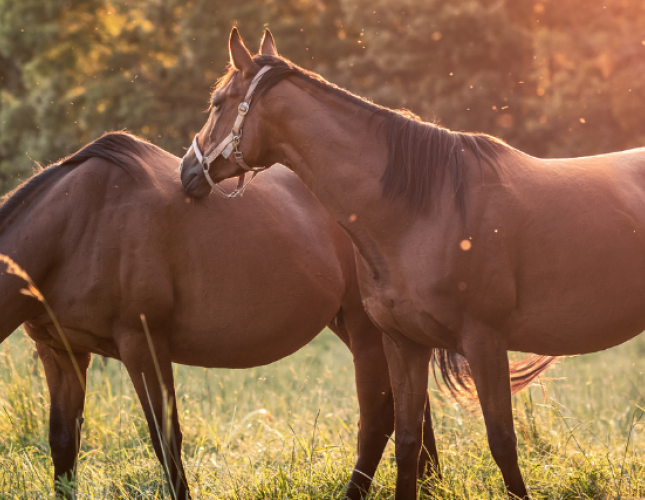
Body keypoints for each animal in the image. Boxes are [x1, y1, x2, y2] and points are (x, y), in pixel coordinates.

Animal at [0, 133, 442, 500]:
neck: (78, 224)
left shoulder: (142, 345)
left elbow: (166, 439)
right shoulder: (60, 352)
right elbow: (63, 443)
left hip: (366, 331)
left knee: (379, 420)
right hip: (369, 330)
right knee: (413, 410)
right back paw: (431, 483)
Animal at [177, 28, 645, 500]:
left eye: (218, 102)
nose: (187, 172)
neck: (426, 210)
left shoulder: (486, 343)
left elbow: (502, 442)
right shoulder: (404, 344)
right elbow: (406, 441)